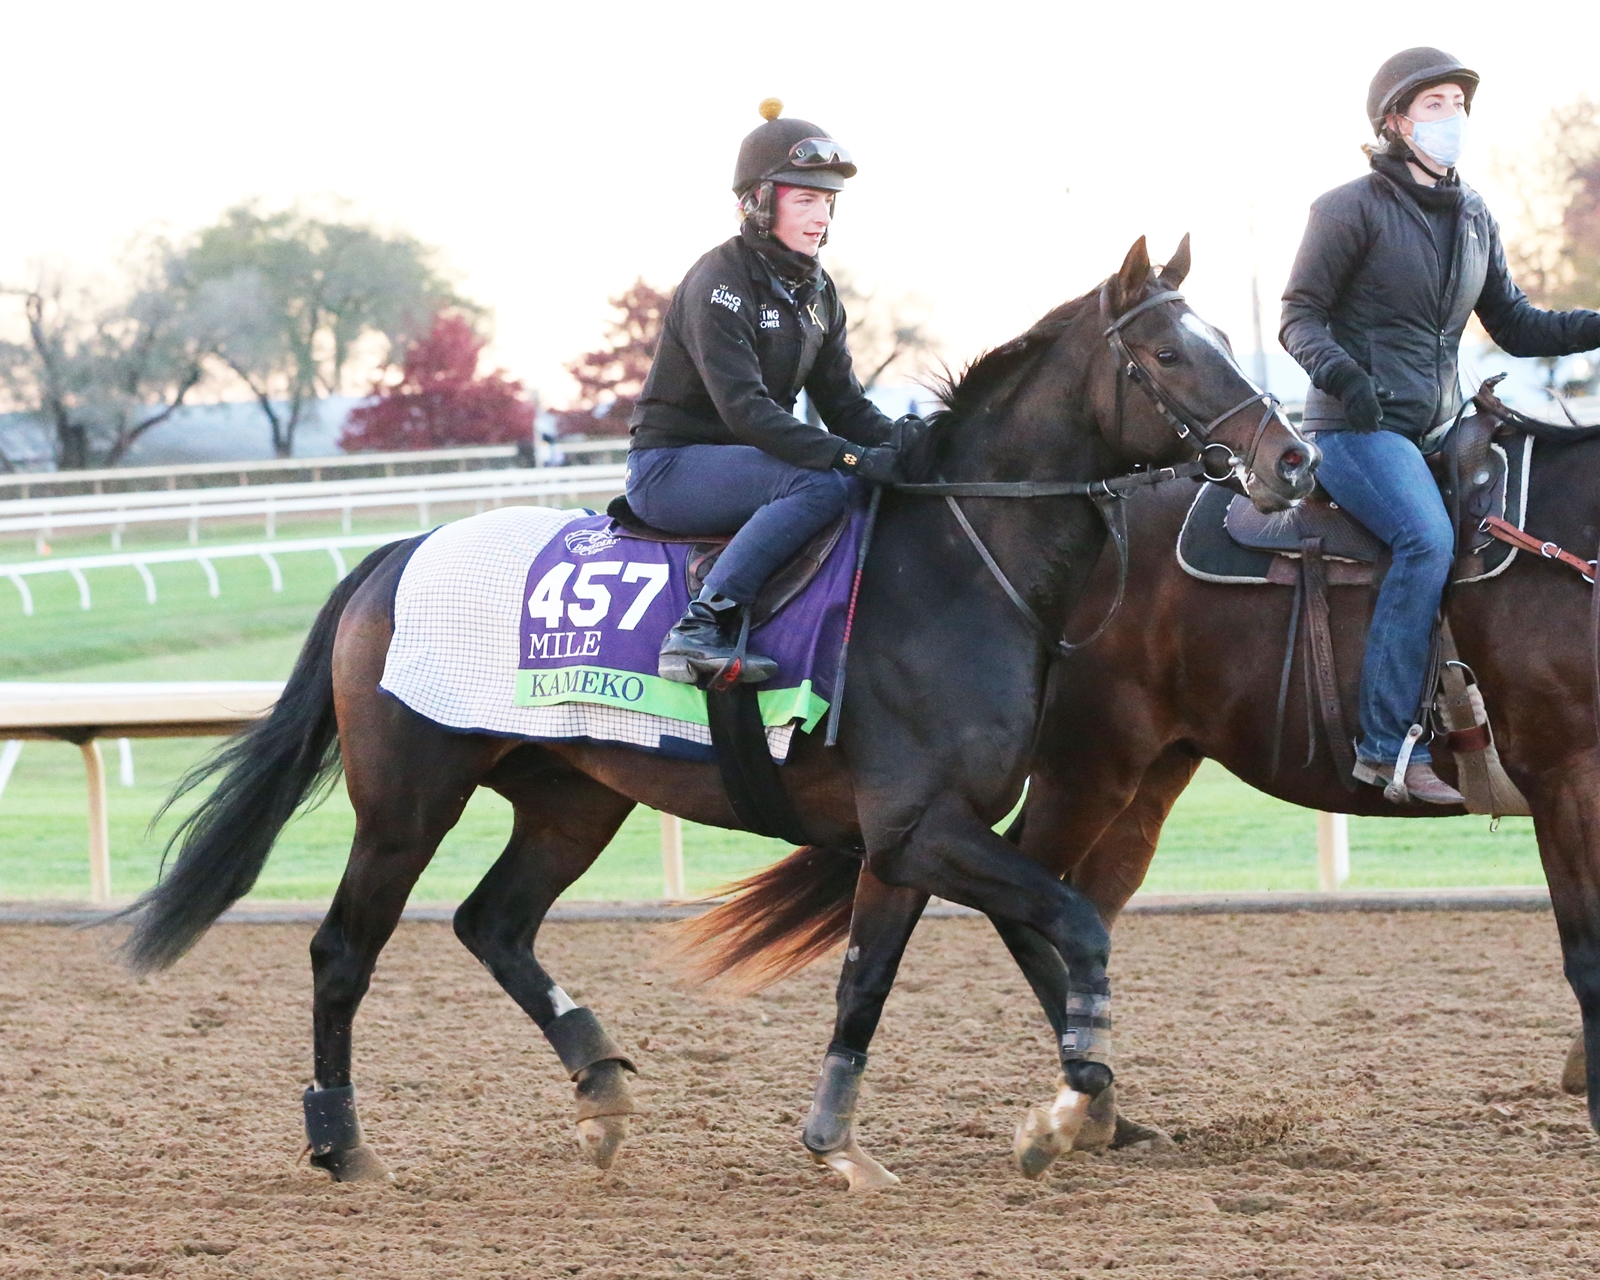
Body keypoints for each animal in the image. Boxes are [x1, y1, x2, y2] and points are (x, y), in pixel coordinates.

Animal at [109, 240, 1312, 1190]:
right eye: (1170, 355)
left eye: (1218, 337)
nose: (1291, 460)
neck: (957, 563)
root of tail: (397, 554)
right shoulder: (921, 823)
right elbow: (1075, 922)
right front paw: (1066, 1110)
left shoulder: (908, 836)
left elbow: (870, 979)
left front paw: (842, 1139)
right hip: (409, 799)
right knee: (343, 950)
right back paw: (343, 1141)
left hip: (572, 796)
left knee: (492, 922)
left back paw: (599, 1089)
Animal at [697, 404, 1600, 1177]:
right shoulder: (1565, 778)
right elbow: (1583, 947)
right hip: (1090, 769)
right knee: (1043, 902)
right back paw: (1078, 1110)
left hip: (1150, 778)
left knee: (1077, 905)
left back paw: (1095, 1107)